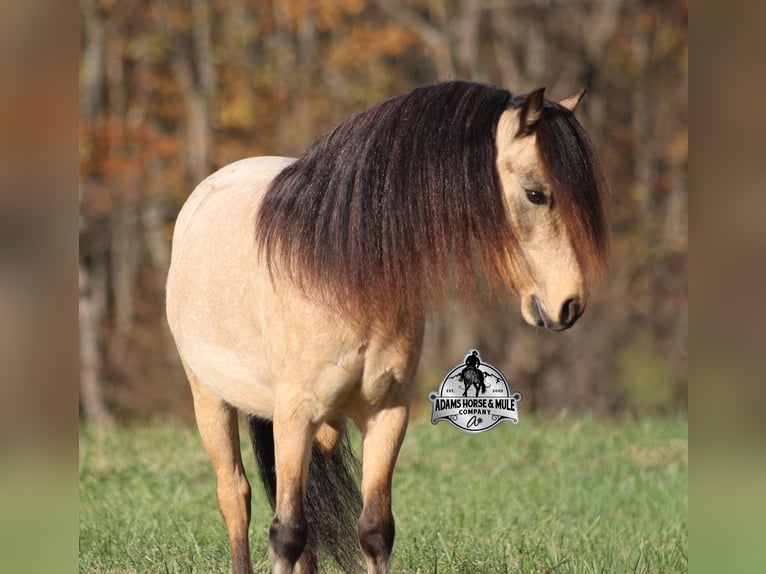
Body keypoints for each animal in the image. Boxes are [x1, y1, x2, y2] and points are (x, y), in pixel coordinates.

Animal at [166, 80, 609, 574]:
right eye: (535, 193)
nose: (570, 304)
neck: (339, 270)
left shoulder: (387, 413)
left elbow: (374, 530)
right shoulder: (295, 415)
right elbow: (285, 533)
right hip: (210, 399)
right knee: (236, 496)